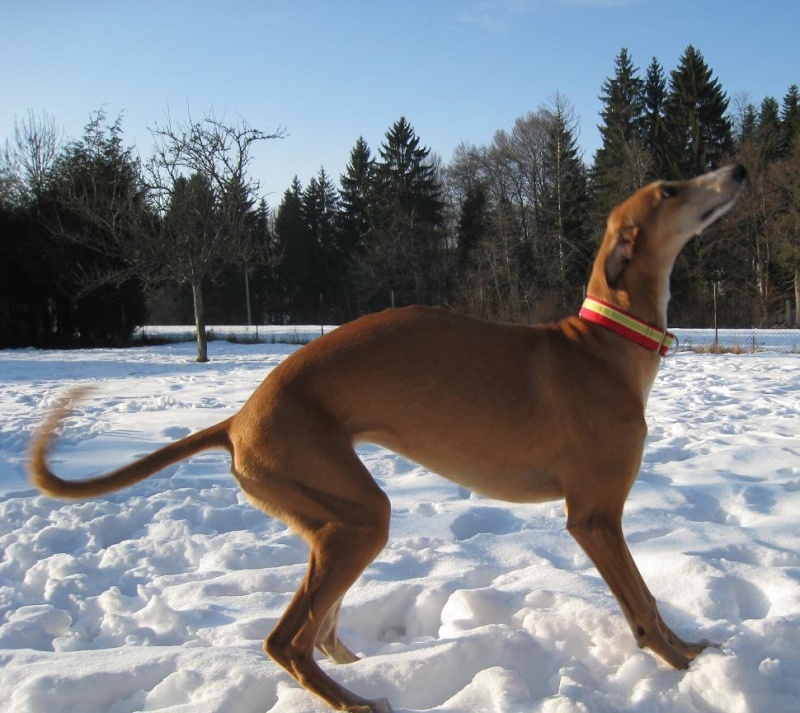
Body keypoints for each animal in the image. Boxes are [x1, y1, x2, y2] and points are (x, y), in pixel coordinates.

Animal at [30, 164, 747, 713]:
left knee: (319, 631)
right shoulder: (595, 516)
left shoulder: (597, 516)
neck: (602, 345)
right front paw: (681, 660)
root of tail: (237, 420)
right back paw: (355, 699)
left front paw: (688, 653)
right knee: (286, 641)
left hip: (332, 520)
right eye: (671, 189)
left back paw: (355, 667)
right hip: (356, 515)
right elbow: (643, 600)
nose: (739, 170)